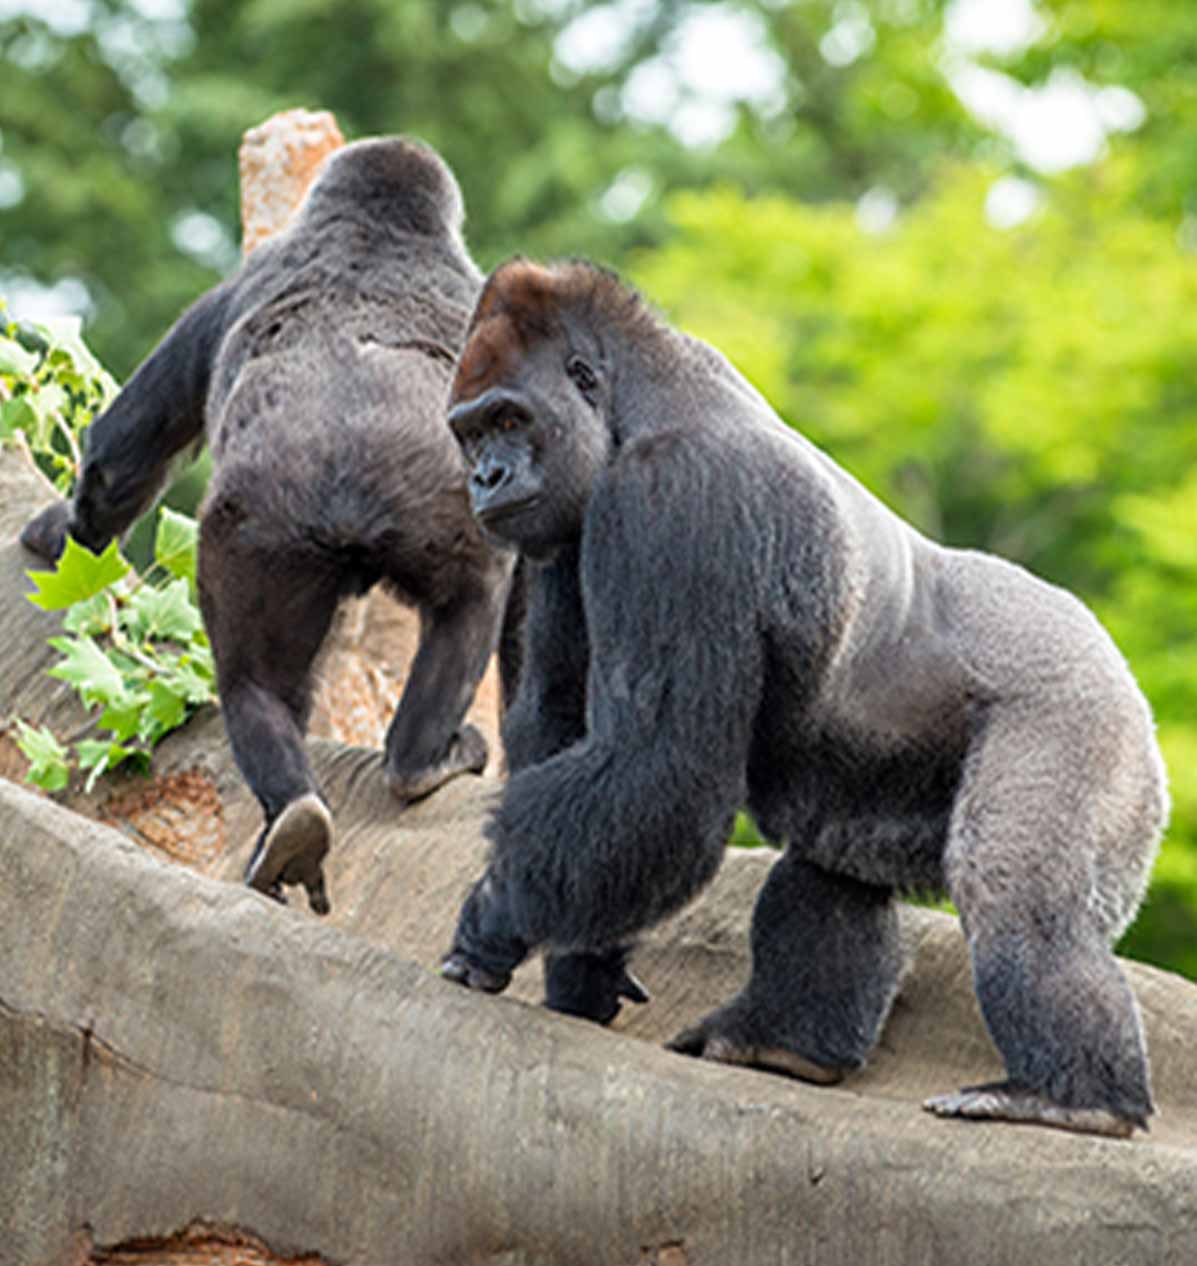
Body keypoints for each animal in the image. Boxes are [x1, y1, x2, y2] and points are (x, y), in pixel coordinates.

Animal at [20, 137, 515, 915]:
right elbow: (123, 457)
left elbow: (118, 458)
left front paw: (59, 532)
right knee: (449, 611)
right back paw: (399, 771)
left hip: (266, 534)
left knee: (257, 681)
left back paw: (325, 806)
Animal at [437, 257, 1168, 1139]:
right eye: (471, 433)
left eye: (509, 419)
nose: (485, 479)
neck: (636, 400)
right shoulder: (560, 532)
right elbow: (566, 735)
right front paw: (582, 969)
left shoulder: (675, 495)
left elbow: (657, 766)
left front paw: (492, 915)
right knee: (831, 864)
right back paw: (784, 1044)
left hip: (1083, 707)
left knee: (1013, 890)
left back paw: (1073, 1099)